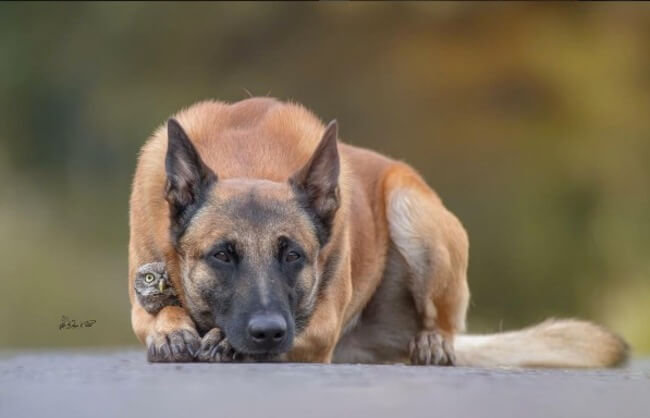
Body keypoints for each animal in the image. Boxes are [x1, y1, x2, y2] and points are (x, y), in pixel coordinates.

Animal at [128, 98, 628, 366]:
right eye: (222, 255)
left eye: (293, 256)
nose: (268, 332)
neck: (248, 158)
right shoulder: (143, 293)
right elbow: (159, 314)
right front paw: (172, 330)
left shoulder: (321, 329)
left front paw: (226, 344)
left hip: (410, 209)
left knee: (445, 322)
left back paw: (433, 342)